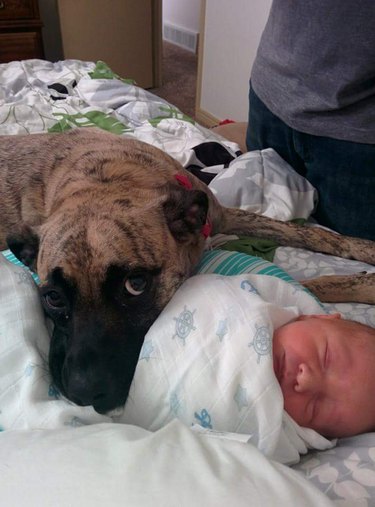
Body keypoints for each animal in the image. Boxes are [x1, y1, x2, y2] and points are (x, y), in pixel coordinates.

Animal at [2, 129, 375, 414]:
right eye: (53, 298)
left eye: (135, 284)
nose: (83, 393)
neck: (111, 179)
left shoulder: (225, 216)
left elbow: (309, 234)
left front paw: (363, 250)